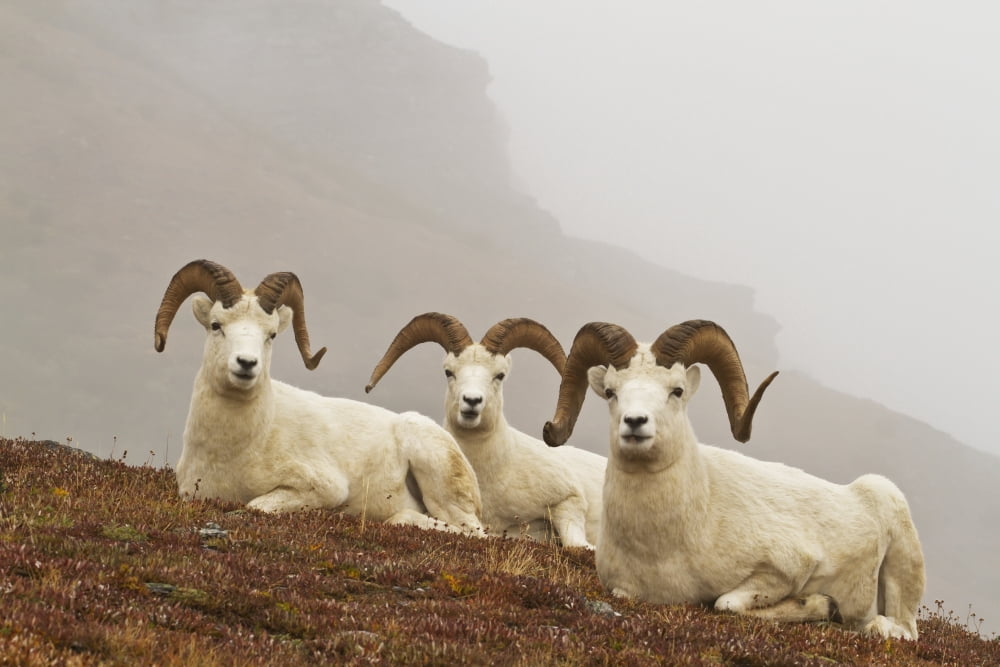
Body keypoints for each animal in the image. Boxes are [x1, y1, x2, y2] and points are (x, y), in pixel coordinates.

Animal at [153, 260, 484, 535]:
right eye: (216, 325)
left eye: (271, 334)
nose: (246, 364)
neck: (237, 448)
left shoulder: (323, 489)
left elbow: (256, 505)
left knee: (467, 530)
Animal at [542, 319, 925, 640]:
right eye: (611, 392)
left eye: (676, 390)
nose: (635, 423)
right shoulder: (623, 590)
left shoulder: (787, 570)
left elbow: (726, 603)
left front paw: (823, 606)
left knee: (905, 628)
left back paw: (877, 627)